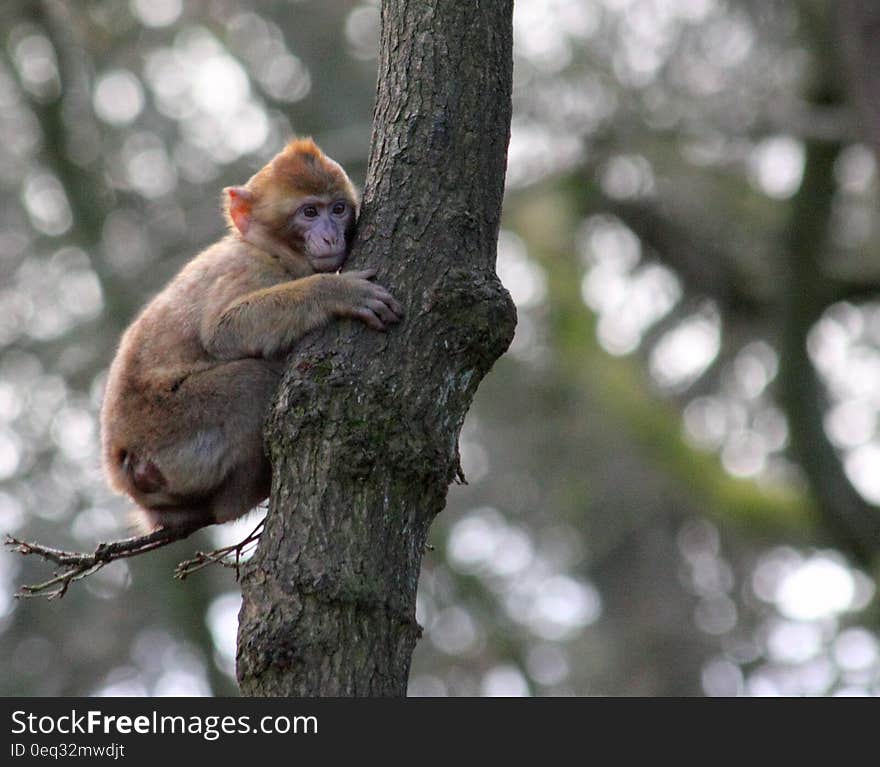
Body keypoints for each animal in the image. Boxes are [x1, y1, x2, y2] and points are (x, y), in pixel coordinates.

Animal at [101, 138, 404, 536]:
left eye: (338, 209)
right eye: (309, 212)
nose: (330, 235)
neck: (269, 249)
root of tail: (122, 464)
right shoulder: (249, 270)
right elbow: (223, 331)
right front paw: (335, 291)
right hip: (170, 426)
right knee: (252, 381)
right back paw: (244, 495)